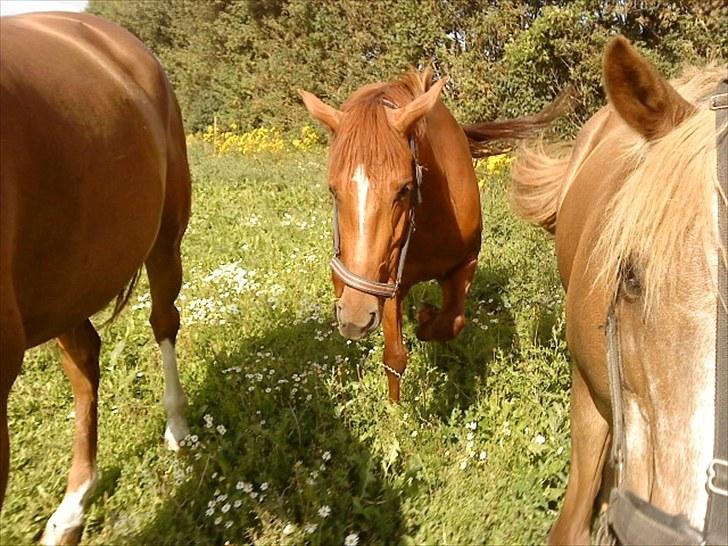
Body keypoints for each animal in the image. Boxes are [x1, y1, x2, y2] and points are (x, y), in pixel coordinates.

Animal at [0, 12, 192, 544]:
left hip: (164, 240)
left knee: (163, 322)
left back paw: (177, 428)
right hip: (67, 282)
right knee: (85, 361)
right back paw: (72, 509)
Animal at [298, 68, 564, 400]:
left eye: (404, 188)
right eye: (333, 190)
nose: (356, 316)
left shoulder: (465, 263)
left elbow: (451, 322)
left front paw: (425, 319)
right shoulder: (387, 284)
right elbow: (395, 357)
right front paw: (395, 411)